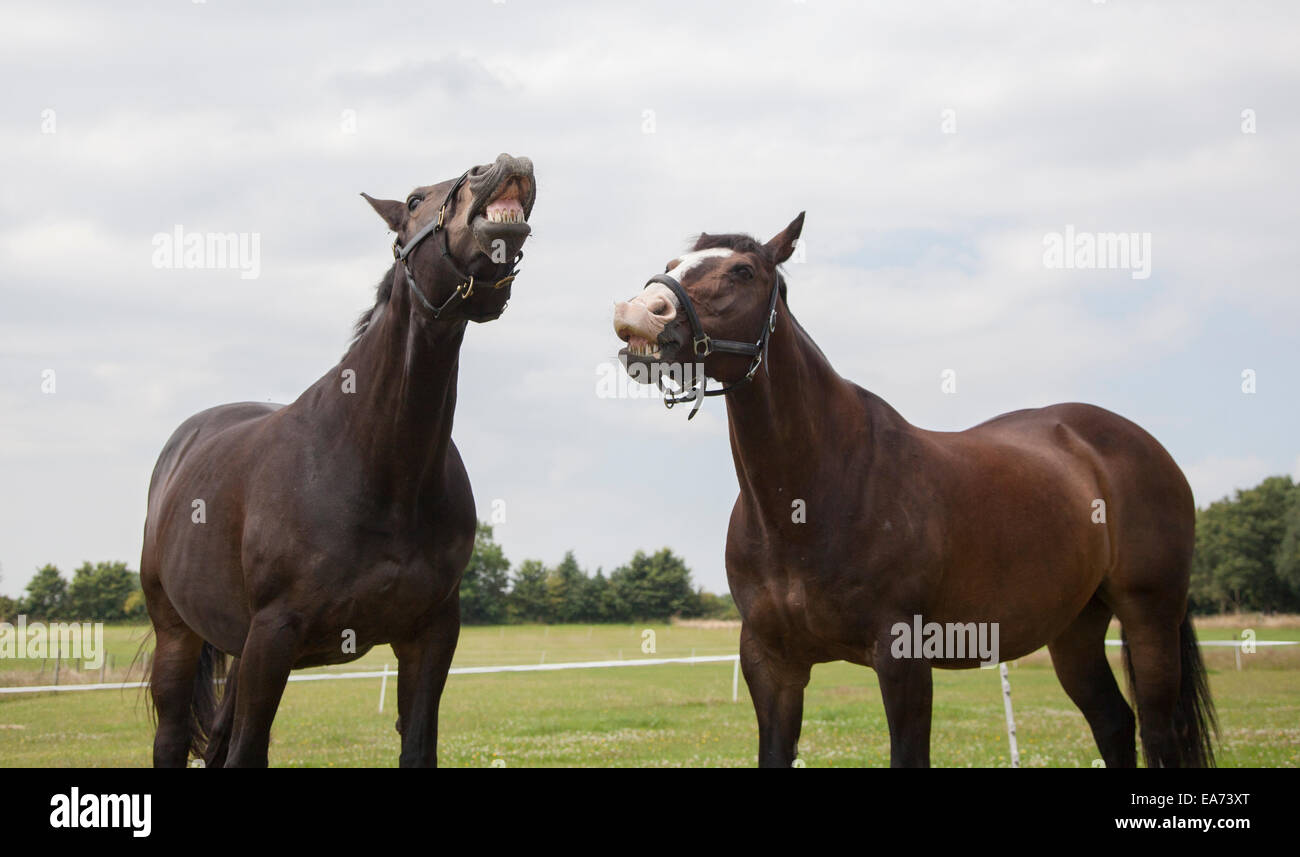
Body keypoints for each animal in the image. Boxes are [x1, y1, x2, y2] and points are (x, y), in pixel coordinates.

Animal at [140, 153, 536, 767]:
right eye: (414, 199)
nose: (502, 164)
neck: (379, 467)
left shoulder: (430, 635)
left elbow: (417, 748)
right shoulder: (274, 635)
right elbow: (247, 750)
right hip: (179, 636)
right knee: (174, 739)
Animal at [611, 213, 1216, 768]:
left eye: (742, 270)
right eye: (672, 265)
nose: (638, 315)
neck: (811, 496)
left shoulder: (902, 658)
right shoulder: (771, 665)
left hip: (1149, 616)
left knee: (1157, 732)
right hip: (1075, 628)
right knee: (1113, 722)